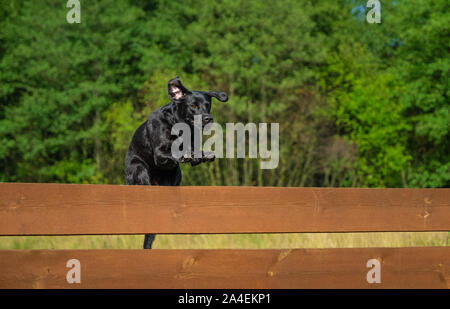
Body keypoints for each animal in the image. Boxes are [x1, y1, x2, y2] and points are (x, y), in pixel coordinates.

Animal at [125, 77, 227, 248]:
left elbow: (195, 151)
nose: (208, 118)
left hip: (175, 175)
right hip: (138, 168)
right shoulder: (159, 153)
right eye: (193, 106)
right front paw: (186, 154)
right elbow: (174, 152)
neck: (180, 126)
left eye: (208, 104)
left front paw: (202, 155)